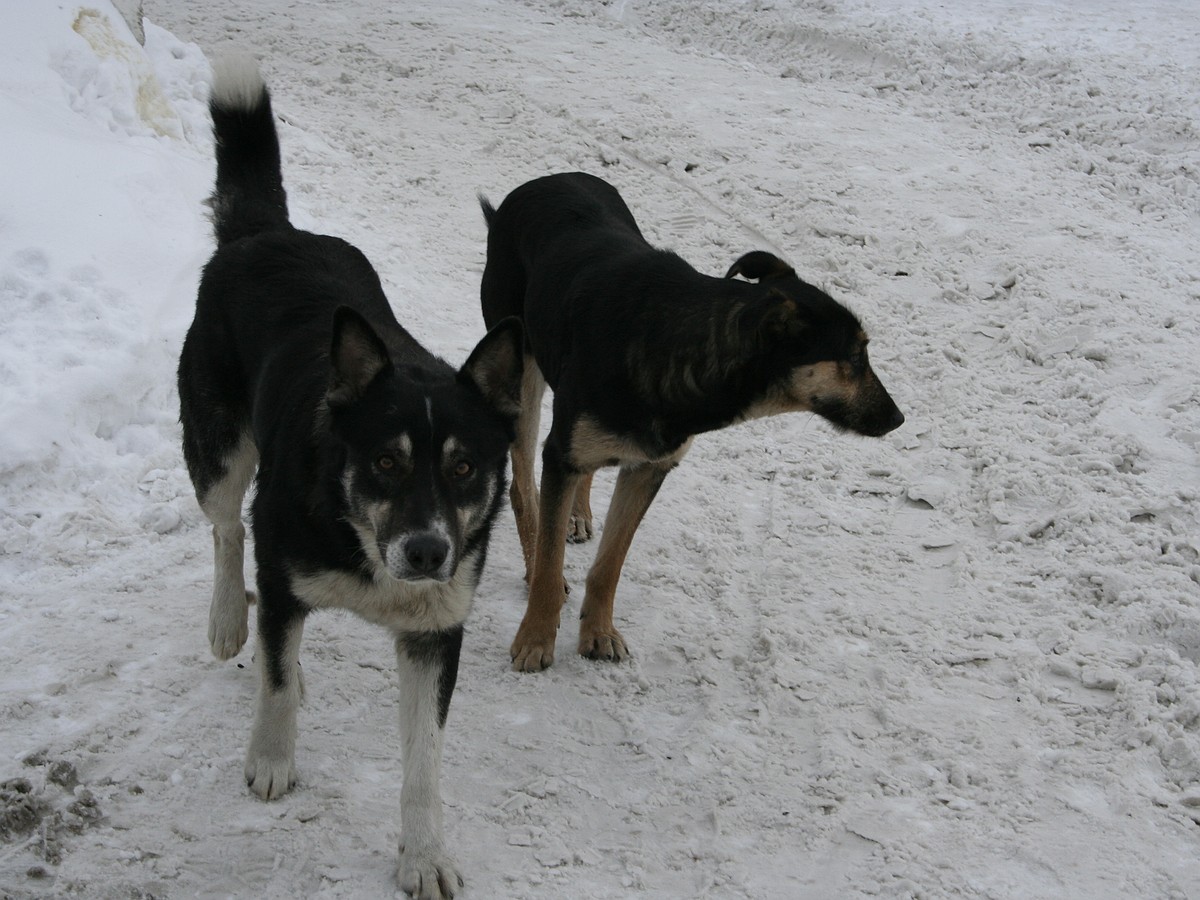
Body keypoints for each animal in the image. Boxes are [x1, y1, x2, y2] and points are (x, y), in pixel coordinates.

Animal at [177, 58, 520, 900]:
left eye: (465, 466)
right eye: (386, 461)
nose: (427, 552)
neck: (360, 532)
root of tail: (268, 233)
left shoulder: (435, 633)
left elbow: (424, 763)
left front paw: (423, 855)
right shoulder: (285, 567)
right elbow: (272, 677)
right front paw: (270, 759)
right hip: (219, 447)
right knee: (227, 529)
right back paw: (228, 619)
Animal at [477, 172, 902, 672]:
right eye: (855, 356)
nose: (898, 418)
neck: (681, 345)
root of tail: (543, 182)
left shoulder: (650, 467)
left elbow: (609, 565)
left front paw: (598, 634)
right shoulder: (564, 454)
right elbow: (549, 562)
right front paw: (535, 638)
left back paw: (578, 515)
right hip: (522, 371)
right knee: (523, 487)